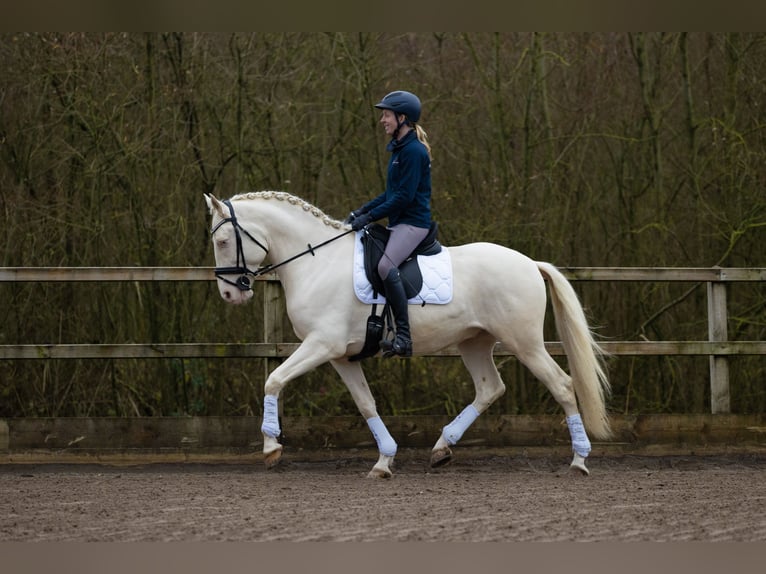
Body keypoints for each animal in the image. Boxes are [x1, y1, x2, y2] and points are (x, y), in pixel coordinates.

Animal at [204, 191, 612, 480]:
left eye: (222, 241)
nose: (229, 294)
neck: (316, 261)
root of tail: (530, 263)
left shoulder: (320, 345)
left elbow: (273, 379)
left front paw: (271, 447)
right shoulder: (340, 356)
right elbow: (366, 404)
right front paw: (384, 460)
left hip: (524, 343)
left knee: (562, 385)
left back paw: (579, 460)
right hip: (473, 341)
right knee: (489, 388)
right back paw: (442, 449)